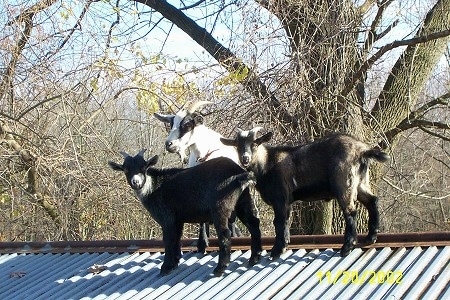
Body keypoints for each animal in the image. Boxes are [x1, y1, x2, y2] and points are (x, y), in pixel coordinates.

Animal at [108, 150, 262, 276]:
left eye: (143, 168)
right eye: (126, 169)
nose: (136, 182)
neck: (154, 187)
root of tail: (239, 173)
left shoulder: (167, 217)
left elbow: (168, 240)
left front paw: (165, 268)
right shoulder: (178, 220)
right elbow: (177, 238)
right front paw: (175, 263)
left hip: (221, 206)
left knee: (224, 233)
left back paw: (220, 268)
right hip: (243, 200)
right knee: (253, 223)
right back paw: (254, 258)